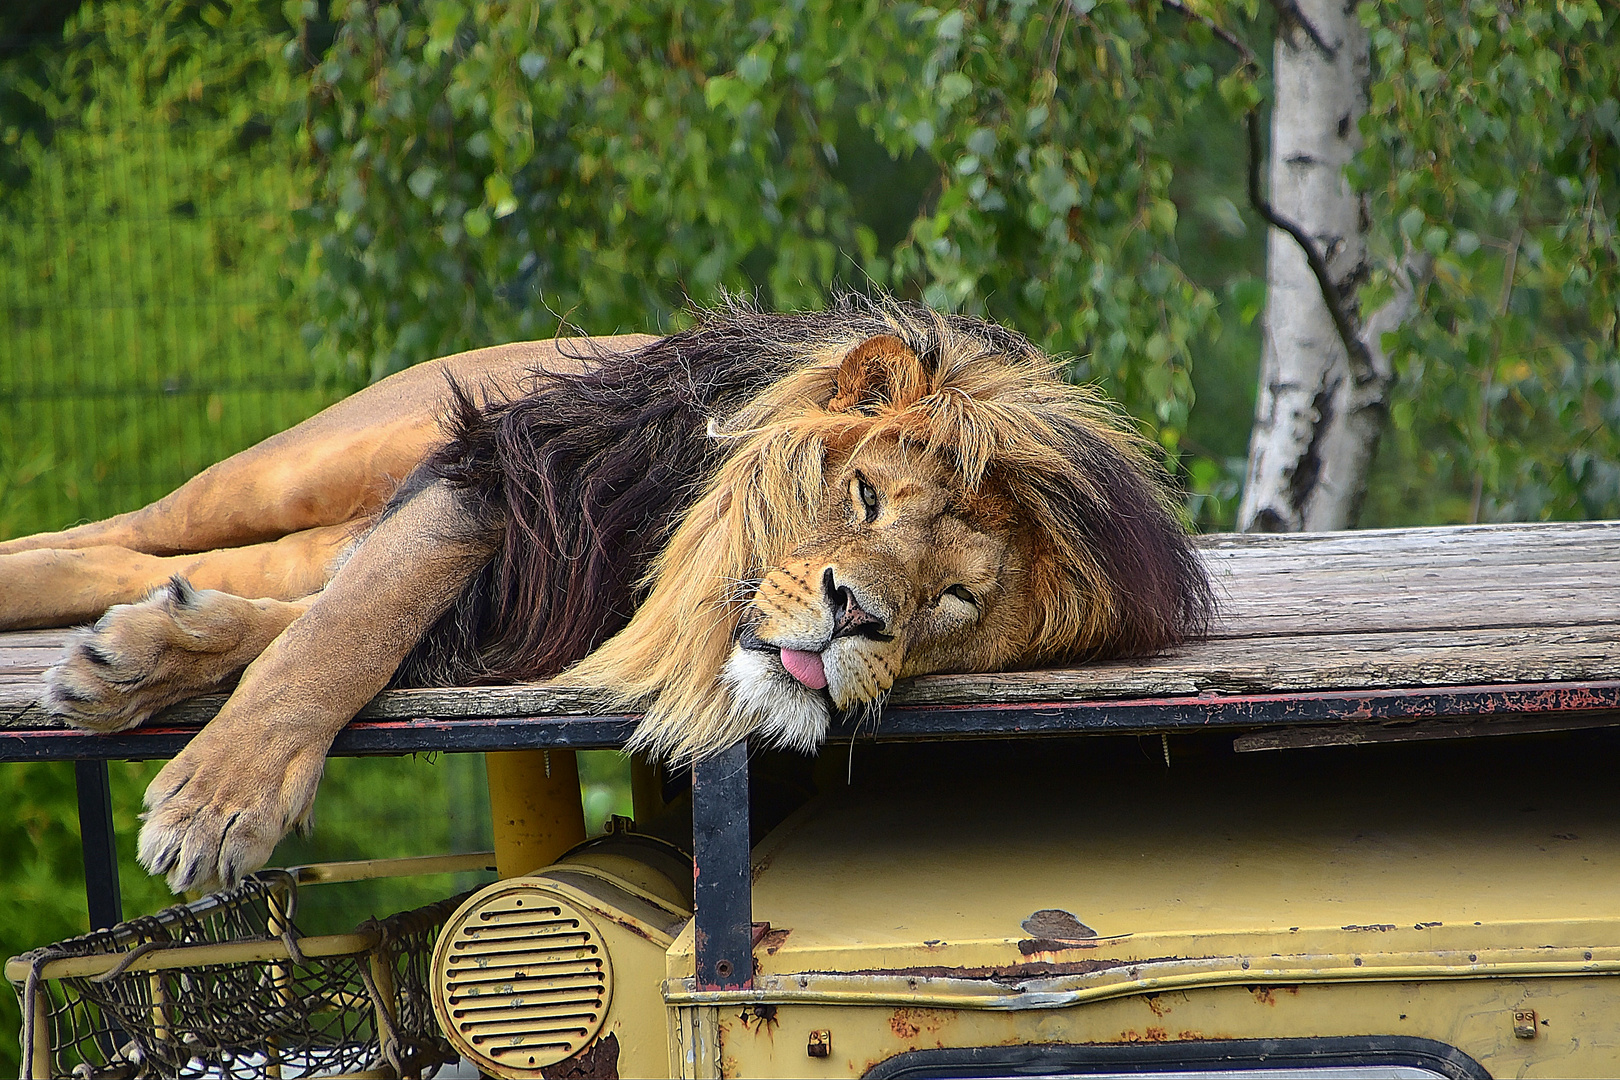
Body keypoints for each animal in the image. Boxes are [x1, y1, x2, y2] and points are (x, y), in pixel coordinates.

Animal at [0, 299, 1218, 893]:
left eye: (954, 598)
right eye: (868, 495)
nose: (857, 615)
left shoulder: (509, 609)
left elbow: (326, 623)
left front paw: (148, 657)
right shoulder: (503, 475)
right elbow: (345, 633)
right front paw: (217, 804)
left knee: (169, 564)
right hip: (316, 461)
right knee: (133, 528)